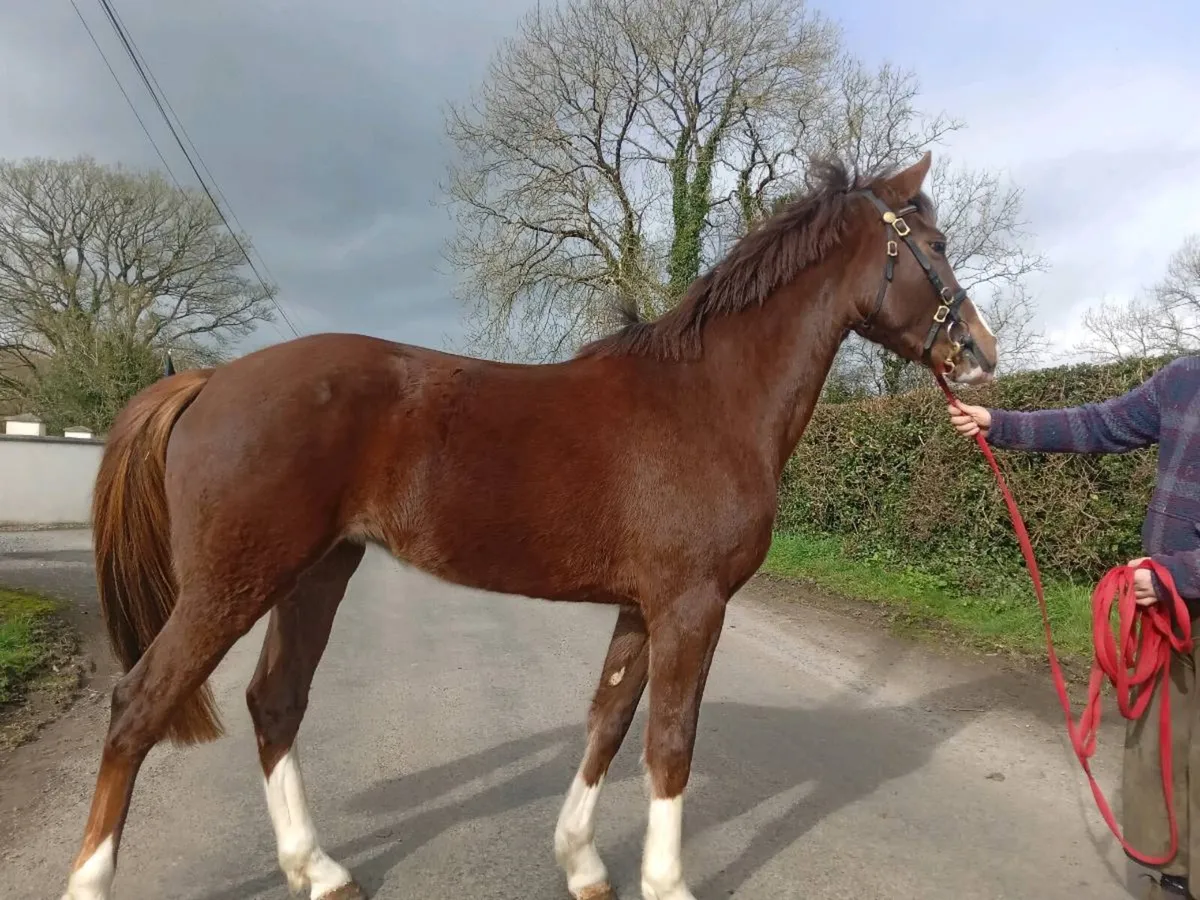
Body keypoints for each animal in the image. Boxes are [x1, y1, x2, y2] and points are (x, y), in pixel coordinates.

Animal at [59, 150, 997, 900]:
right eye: (937, 246)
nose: (982, 353)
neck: (709, 399)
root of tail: (208, 381)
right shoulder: (693, 607)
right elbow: (671, 744)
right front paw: (665, 883)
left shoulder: (643, 607)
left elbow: (609, 721)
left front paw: (581, 863)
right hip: (232, 584)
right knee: (139, 706)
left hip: (316, 573)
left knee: (275, 702)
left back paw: (318, 870)